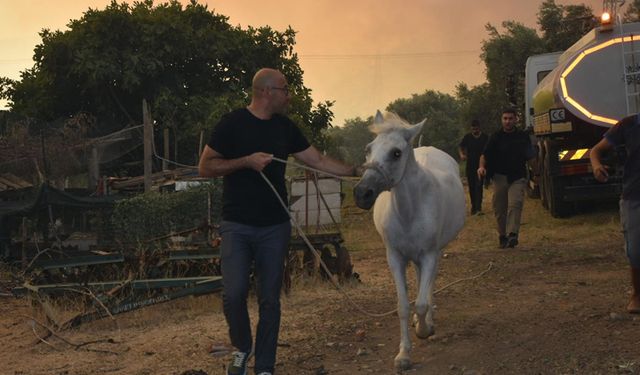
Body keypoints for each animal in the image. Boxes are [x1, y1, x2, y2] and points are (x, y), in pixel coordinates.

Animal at [352, 111, 462, 370]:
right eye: (368, 149)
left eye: (396, 153)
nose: (362, 194)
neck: (409, 211)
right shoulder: (395, 258)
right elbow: (402, 306)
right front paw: (403, 354)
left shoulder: (429, 254)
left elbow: (421, 301)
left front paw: (424, 330)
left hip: (435, 253)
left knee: (428, 286)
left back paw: (428, 320)